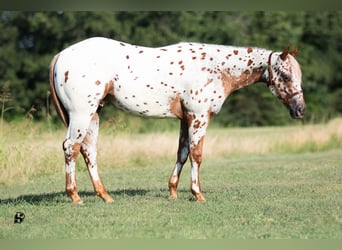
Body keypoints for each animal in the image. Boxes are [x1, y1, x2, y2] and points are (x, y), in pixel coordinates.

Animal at [48, 37, 304, 203]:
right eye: (285, 75)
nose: (300, 110)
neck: (214, 68)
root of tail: (61, 55)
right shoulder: (199, 116)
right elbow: (196, 155)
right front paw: (197, 193)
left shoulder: (186, 118)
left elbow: (182, 153)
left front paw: (172, 191)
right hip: (81, 114)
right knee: (71, 148)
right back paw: (75, 196)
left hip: (93, 114)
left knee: (89, 151)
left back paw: (105, 196)